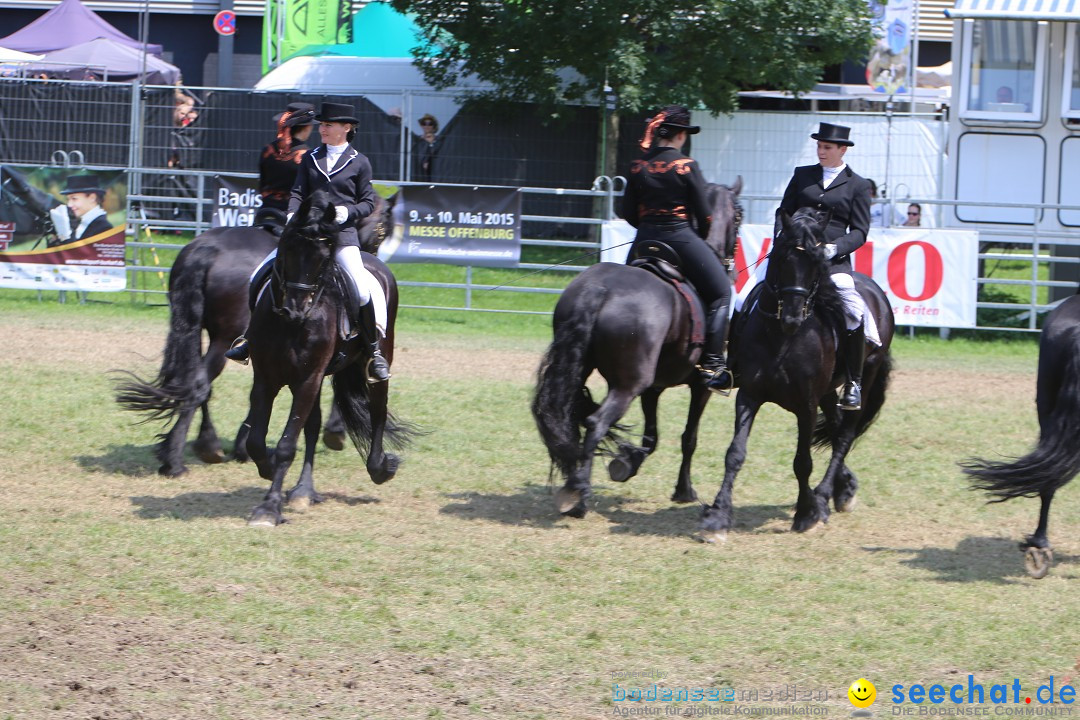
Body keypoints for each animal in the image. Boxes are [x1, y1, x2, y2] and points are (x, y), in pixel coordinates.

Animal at [116, 194, 395, 474]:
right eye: (382, 229)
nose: (373, 255)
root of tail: (206, 249)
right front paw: (333, 432)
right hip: (224, 338)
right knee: (199, 383)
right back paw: (178, 458)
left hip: (192, 329)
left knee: (192, 380)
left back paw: (197, 445)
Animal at [245, 189, 412, 528]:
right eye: (288, 248)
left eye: (324, 257)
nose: (295, 309)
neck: (290, 324)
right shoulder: (266, 377)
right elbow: (256, 440)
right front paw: (268, 470)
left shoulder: (308, 379)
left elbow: (287, 445)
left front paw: (269, 507)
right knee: (313, 426)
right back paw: (303, 490)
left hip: (377, 362)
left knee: (378, 410)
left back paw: (379, 467)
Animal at [531, 180, 743, 518]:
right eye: (738, 215)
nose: (732, 265)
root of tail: (599, 289)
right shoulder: (700, 387)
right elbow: (689, 438)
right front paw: (683, 490)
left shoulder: (653, 388)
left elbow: (652, 436)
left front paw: (627, 462)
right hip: (629, 385)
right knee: (596, 422)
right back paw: (579, 496)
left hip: (581, 372)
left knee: (571, 418)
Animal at [699, 208, 894, 539]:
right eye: (780, 258)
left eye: (817, 263)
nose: (791, 318)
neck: (782, 339)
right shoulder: (749, 395)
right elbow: (735, 453)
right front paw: (718, 517)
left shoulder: (806, 404)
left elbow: (803, 461)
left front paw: (806, 514)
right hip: (828, 391)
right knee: (836, 425)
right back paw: (842, 489)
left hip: (864, 377)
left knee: (845, 435)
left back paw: (824, 498)